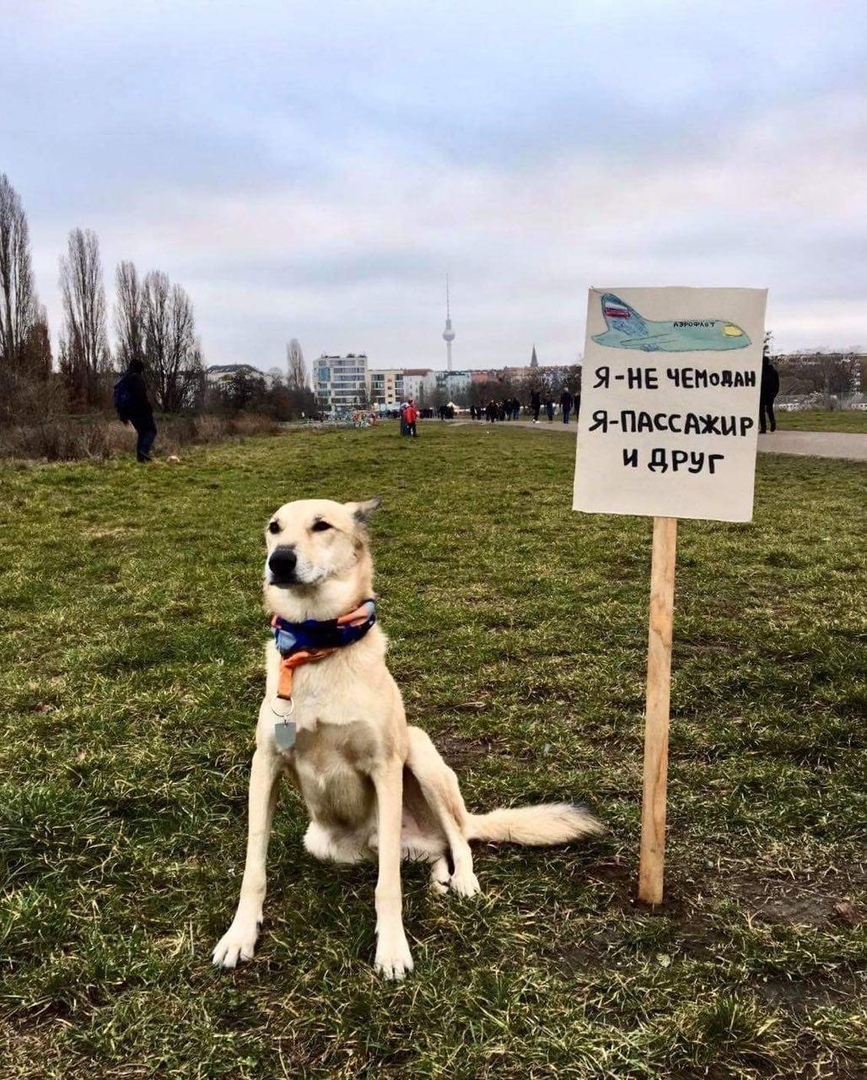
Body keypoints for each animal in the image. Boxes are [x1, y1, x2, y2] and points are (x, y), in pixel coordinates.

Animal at [211, 496, 604, 980]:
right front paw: (240, 936)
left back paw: (462, 880)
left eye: (322, 526)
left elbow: (388, 887)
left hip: (419, 754)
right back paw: (439, 877)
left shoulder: (384, 768)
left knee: (458, 839)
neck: (318, 646)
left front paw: (392, 950)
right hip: (328, 844)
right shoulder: (265, 764)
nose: (279, 560)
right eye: (274, 528)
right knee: (429, 851)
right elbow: (254, 868)